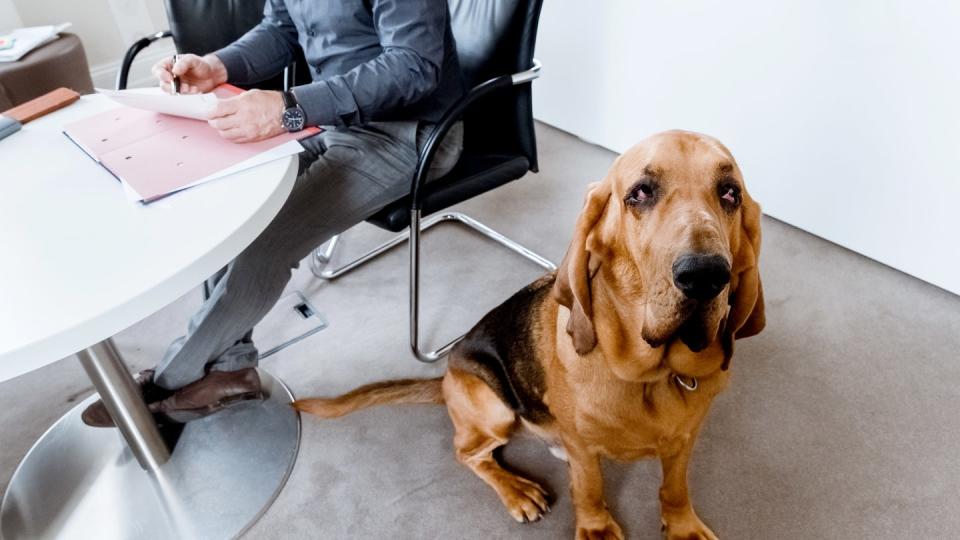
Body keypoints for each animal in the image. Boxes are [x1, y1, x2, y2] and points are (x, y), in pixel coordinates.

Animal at [294, 129, 764, 536]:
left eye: (730, 193)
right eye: (640, 193)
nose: (705, 276)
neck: (653, 376)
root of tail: (445, 375)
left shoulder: (685, 441)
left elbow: (675, 488)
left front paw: (682, 526)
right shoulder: (583, 449)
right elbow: (590, 489)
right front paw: (596, 528)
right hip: (495, 410)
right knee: (467, 452)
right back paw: (517, 491)